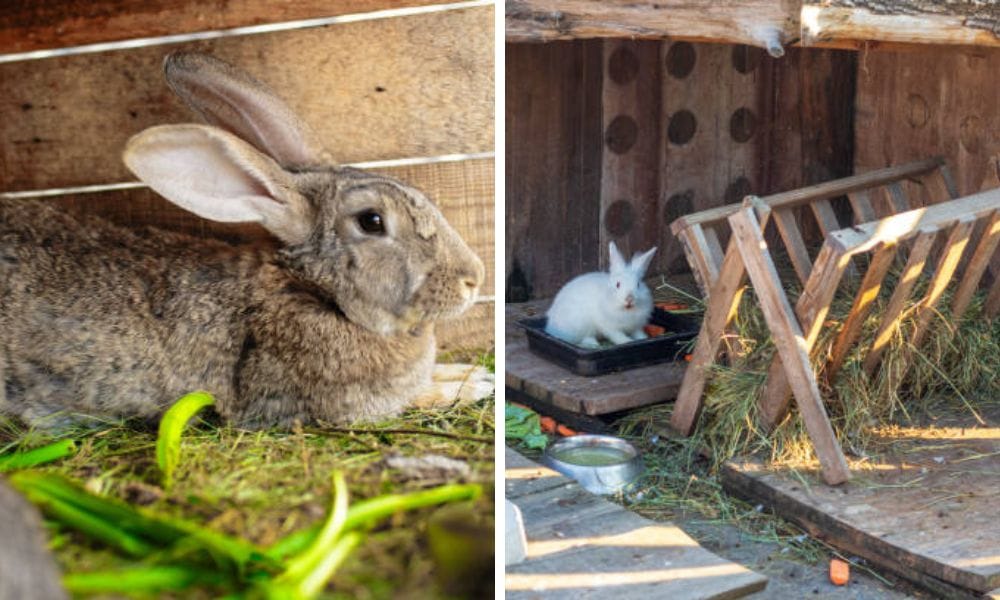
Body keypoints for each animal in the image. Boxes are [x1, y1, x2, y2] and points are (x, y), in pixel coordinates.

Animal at [0, 52, 487, 430]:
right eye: (371, 221)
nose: (474, 279)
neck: (318, 292)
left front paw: (465, 371)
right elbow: (414, 397)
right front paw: (473, 383)